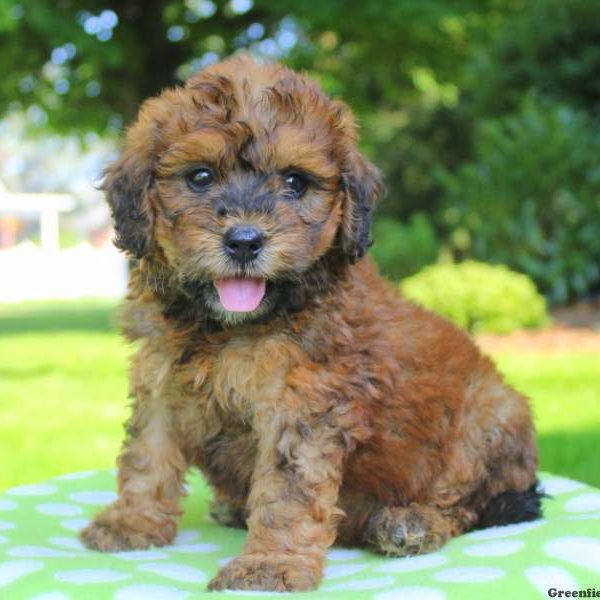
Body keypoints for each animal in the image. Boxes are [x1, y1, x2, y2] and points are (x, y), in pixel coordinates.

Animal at [77, 55, 540, 592]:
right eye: (200, 176)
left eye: (295, 182)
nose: (244, 241)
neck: (227, 326)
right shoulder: (161, 378)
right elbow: (146, 452)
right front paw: (132, 520)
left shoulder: (304, 403)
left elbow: (287, 488)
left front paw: (269, 564)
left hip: (488, 421)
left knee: (466, 503)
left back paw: (411, 523)